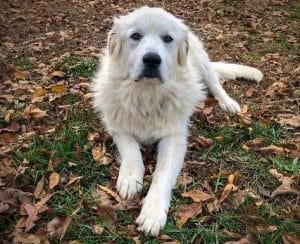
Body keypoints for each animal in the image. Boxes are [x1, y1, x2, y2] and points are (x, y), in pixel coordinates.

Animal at [92, 6, 262, 235]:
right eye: (135, 36)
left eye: (167, 39)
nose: (152, 59)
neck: (147, 95)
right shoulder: (117, 126)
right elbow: (130, 149)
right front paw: (130, 178)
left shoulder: (174, 138)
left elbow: (162, 174)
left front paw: (153, 212)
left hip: (202, 62)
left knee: (215, 84)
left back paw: (228, 103)